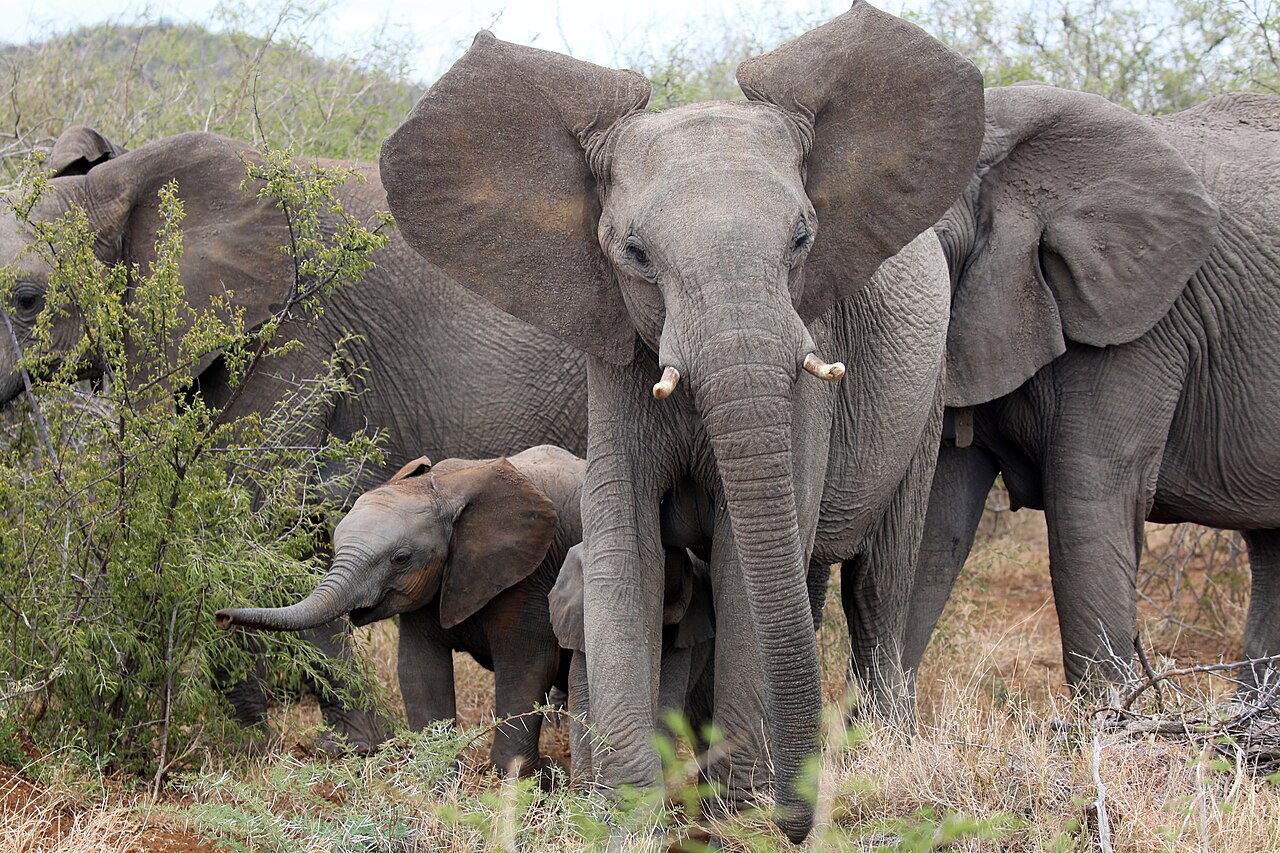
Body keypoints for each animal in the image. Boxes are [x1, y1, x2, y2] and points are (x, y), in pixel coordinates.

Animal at [215, 445, 585, 777]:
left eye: (401, 558)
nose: (222, 617)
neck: (445, 487)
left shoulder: (530, 572)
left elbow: (525, 667)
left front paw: (525, 779)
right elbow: (419, 669)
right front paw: (436, 773)